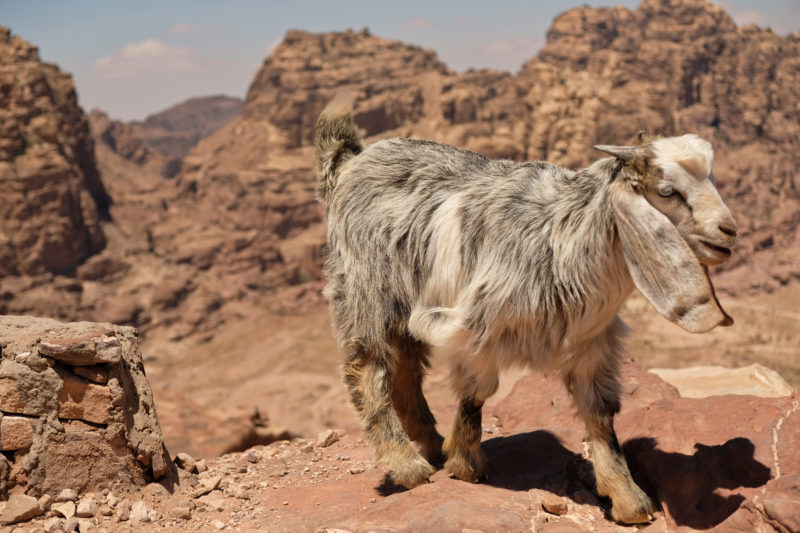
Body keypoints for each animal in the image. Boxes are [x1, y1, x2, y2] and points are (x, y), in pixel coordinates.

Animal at [314, 95, 736, 524]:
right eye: (666, 191)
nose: (729, 232)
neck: (565, 236)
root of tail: (351, 160)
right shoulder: (474, 327)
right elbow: (476, 393)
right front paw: (466, 463)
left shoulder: (592, 342)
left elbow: (600, 413)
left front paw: (628, 497)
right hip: (367, 289)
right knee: (368, 368)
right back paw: (409, 466)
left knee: (405, 372)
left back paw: (431, 446)